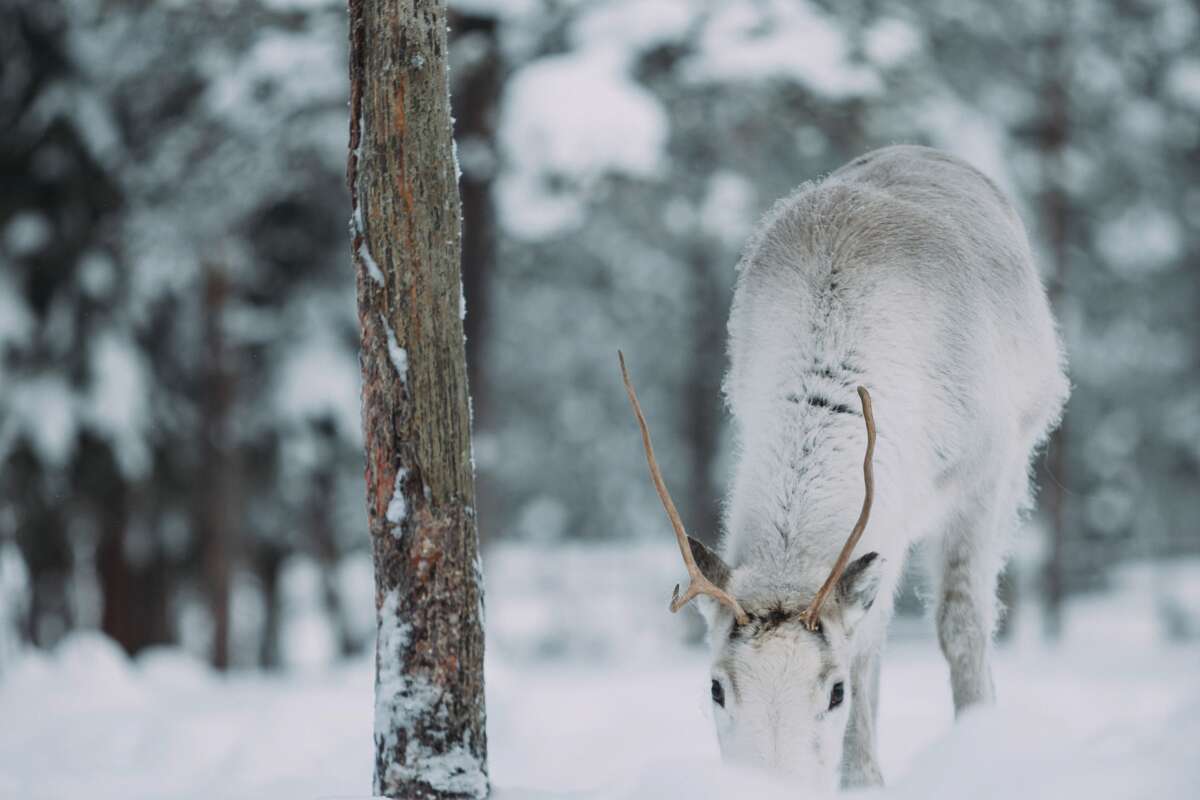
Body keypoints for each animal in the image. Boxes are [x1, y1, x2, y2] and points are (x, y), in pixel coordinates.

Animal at [619, 145, 1068, 793]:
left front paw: (876, 777)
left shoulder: (981, 475)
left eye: (834, 693)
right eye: (715, 687)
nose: (769, 788)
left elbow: (950, 624)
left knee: (964, 622)